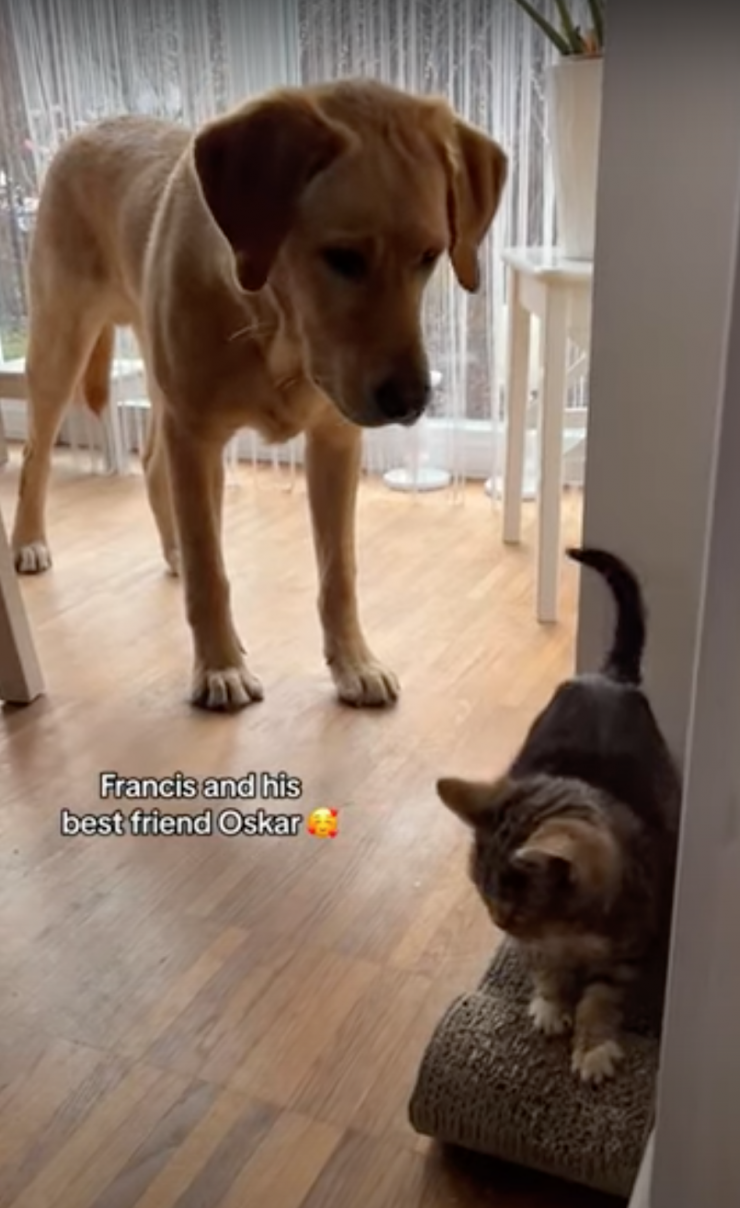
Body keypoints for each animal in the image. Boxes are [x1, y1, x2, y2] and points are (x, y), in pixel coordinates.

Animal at [11, 79, 507, 711]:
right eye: (342, 258)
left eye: (430, 255)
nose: (412, 400)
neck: (275, 323)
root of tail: (90, 128)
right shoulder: (196, 435)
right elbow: (211, 571)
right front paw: (219, 666)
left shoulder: (333, 442)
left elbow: (338, 573)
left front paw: (354, 663)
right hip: (61, 341)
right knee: (37, 454)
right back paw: (29, 541)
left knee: (152, 463)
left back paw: (171, 548)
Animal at [437, 547, 681, 1085]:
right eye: (481, 891)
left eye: (514, 902)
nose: (498, 921)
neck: (570, 929)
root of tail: (609, 677)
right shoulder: (541, 947)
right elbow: (548, 968)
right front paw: (551, 1003)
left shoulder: (628, 949)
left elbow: (602, 998)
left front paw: (593, 1046)